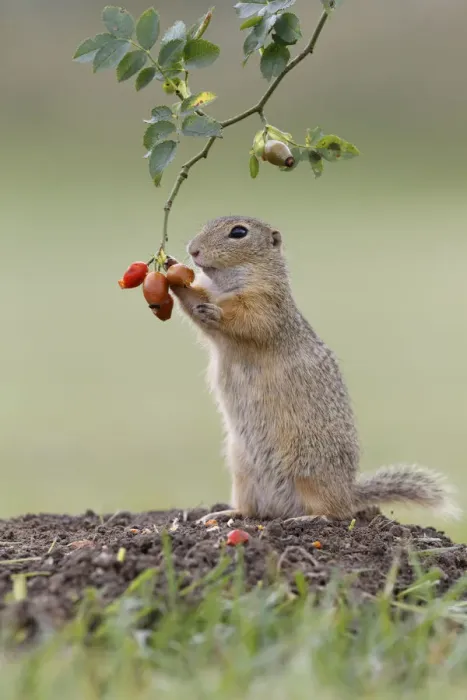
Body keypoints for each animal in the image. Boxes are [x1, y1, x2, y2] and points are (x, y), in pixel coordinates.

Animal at [170, 215, 461, 524]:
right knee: (253, 510)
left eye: (238, 232)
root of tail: (349, 492)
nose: (193, 249)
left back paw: (308, 518)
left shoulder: (268, 308)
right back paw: (227, 513)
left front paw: (216, 312)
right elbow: (193, 303)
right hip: (242, 472)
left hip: (309, 471)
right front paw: (171, 273)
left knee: (336, 512)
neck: (225, 286)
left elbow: (247, 322)